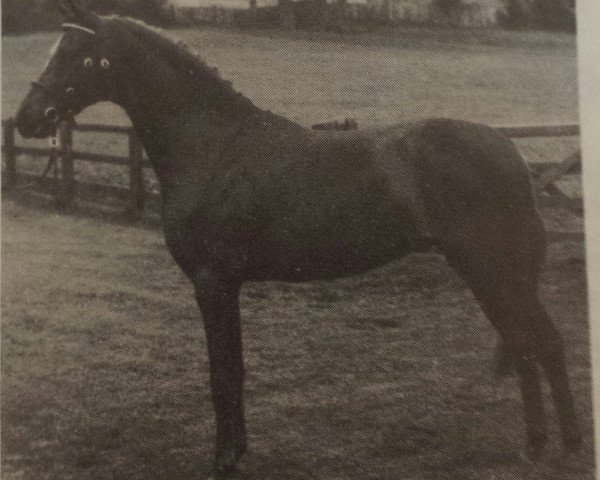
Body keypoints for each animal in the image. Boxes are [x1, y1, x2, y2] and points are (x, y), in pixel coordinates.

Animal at [16, 1, 580, 478]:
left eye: (76, 54)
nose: (25, 120)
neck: (213, 149)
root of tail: (510, 151)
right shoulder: (227, 284)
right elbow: (236, 370)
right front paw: (239, 451)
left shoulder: (212, 283)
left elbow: (222, 374)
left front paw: (223, 460)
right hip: (491, 275)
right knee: (524, 345)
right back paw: (534, 447)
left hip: (493, 271)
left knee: (546, 343)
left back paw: (568, 449)